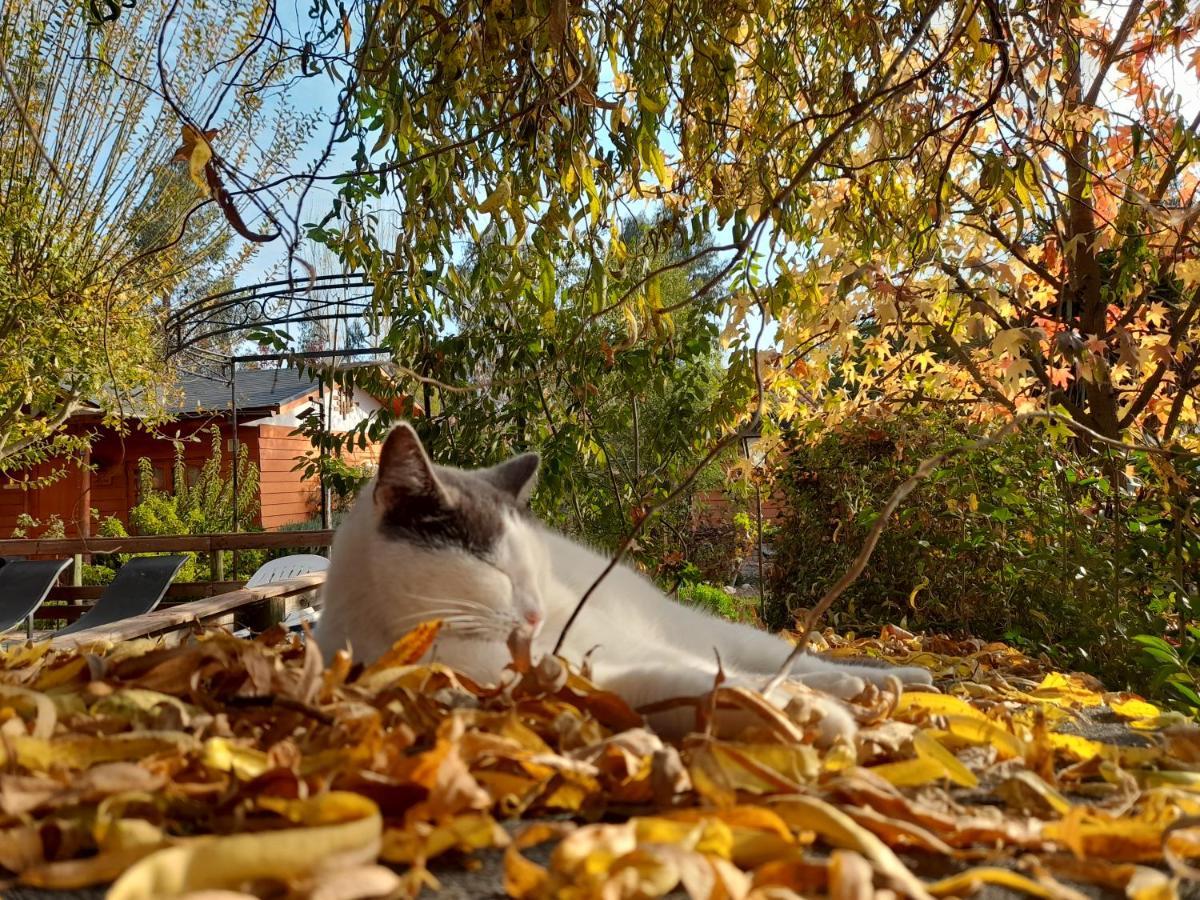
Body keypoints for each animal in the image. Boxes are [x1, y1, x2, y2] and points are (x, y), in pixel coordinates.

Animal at [314, 427, 931, 744]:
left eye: (536, 573)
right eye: (498, 574)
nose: (538, 614)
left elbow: (727, 681)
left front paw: (811, 712)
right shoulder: (596, 682)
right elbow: (679, 688)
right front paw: (804, 716)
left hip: (706, 632)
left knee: (790, 660)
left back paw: (893, 679)